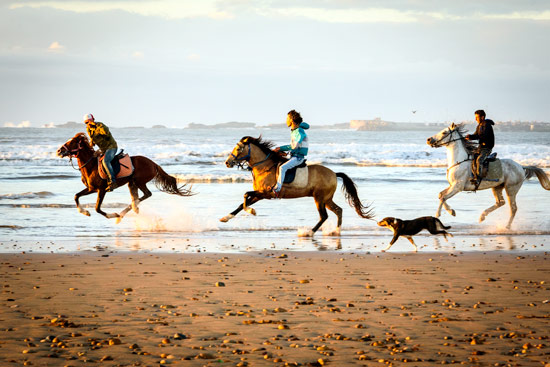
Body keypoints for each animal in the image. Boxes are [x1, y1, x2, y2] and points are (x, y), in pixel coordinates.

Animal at [56, 134, 194, 223]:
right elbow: (76, 196)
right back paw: (132, 209)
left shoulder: (101, 189)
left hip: (139, 181)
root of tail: (154, 164)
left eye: (71, 142)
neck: (91, 165)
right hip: (132, 183)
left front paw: (112, 215)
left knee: (146, 194)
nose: (58, 151)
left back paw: (124, 213)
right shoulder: (91, 188)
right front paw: (85, 212)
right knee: (138, 196)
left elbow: (97, 208)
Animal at [220, 136, 376, 236]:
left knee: (324, 216)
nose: (227, 162)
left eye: (239, 148)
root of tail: (333, 173)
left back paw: (308, 232)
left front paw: (251, 211)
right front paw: (226, 218)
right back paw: (335, 231)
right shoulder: (260, 194)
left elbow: (245, 195)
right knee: (338, 210)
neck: (264, 167)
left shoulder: (267, 194)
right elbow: (242, 203)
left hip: (319, 198)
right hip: (327, 199)